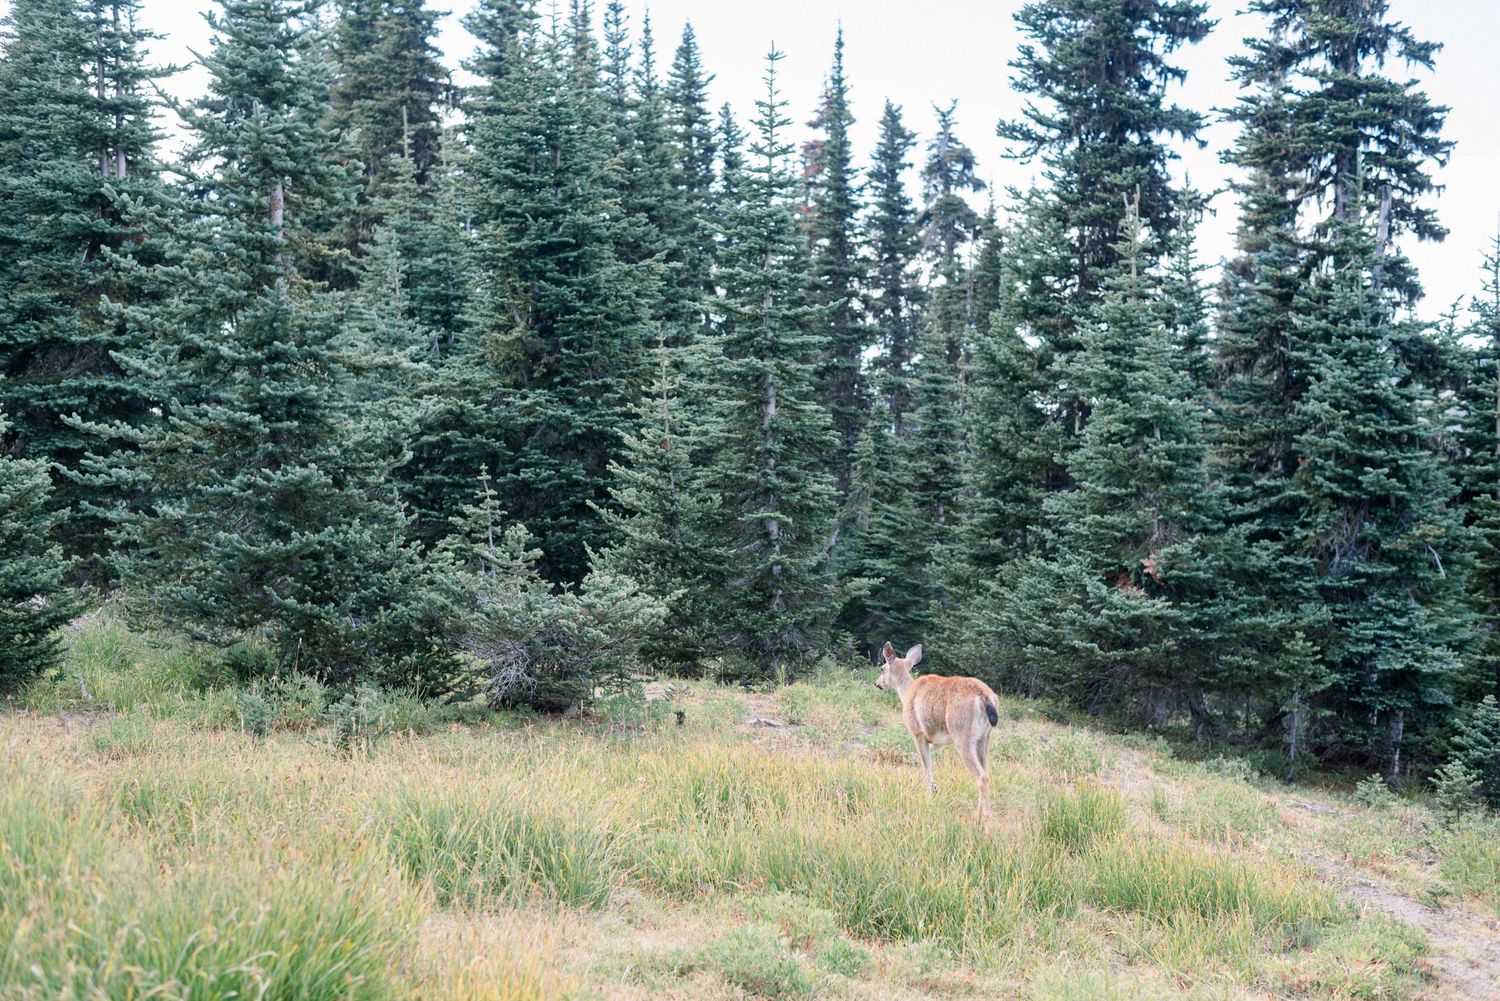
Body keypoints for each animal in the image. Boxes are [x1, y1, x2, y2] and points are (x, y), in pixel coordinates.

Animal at [874, 641, 1001, 826]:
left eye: (882, 668)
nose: (877, 683)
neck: (906, 692)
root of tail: (985, 697)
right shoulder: (937, 740)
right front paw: (934, 789)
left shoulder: (918, 733)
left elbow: (926, 765)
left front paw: (928, 796)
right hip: (984, 739)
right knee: (986, 773)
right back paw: (978, 816)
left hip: (962, 733)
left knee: (982, 777)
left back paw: (986, 824)